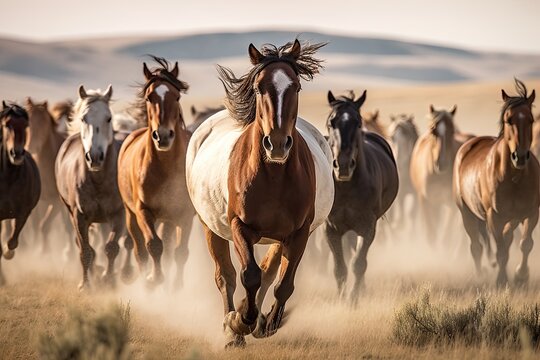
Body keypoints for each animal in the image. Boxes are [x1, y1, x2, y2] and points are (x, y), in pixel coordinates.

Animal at [118, 56, 196, 288]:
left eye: (177, 96)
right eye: (149, 97)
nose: (163, 136)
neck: (165, 167)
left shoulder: (185, 214)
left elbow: (180, 252)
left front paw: (176, 286)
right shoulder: (144, 211)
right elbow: (153, 245)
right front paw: (154, 278)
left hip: (168, 219)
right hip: (131, 216)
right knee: (139, 250)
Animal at [186, 40, 334, 348]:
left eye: (296, 87)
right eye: (258, 88)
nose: (276, 144)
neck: (273, 176)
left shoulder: (299, 233)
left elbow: (282, 284)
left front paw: (266, 323)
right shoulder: (240, 226)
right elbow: (249, 275)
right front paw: (240, 321)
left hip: (281, 237)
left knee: (269, 273)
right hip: (210, 227)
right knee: (226, 276)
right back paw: (233, 330)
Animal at [412, 104, 470, 245]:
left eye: (452, 132)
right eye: (433, 131)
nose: (441, 163)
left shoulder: (451, 204)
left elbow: (446, 237)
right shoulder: (425, 201)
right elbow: (431, 235)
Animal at [454, 79, 536, 286]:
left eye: (531, 120)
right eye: (508, 120)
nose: (519, 156)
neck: (514, 178)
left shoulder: (531, 214)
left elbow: (525, 244)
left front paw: (521, 275)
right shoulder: (494, 217)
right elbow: (500, 251)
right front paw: (502, 280)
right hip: (466, 213)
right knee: (476, 246)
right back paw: (480, 275)